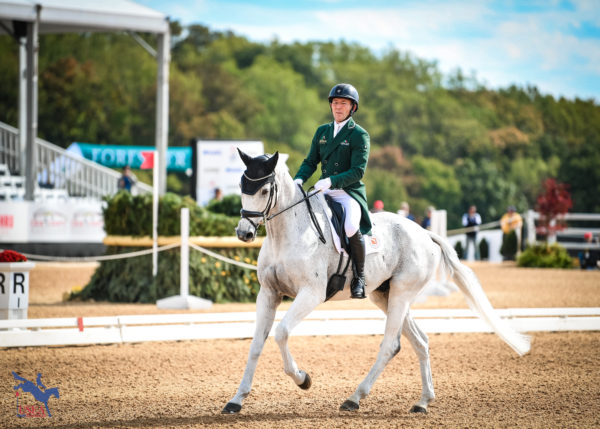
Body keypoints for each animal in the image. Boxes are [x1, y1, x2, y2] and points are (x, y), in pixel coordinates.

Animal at [224, 151, 528, 414]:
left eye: (265, 191)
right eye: (242, 185)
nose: (244, 233)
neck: (286, 233)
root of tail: (424, 232)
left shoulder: (311, 293)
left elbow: (281, 333)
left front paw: (303, 379)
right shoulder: (268, 293)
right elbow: (256, 344)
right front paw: (236, 400)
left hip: (401, 294)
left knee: (390, 345)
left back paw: (355, 398)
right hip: (385, 294)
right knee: (420, 341)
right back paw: (422, 402)